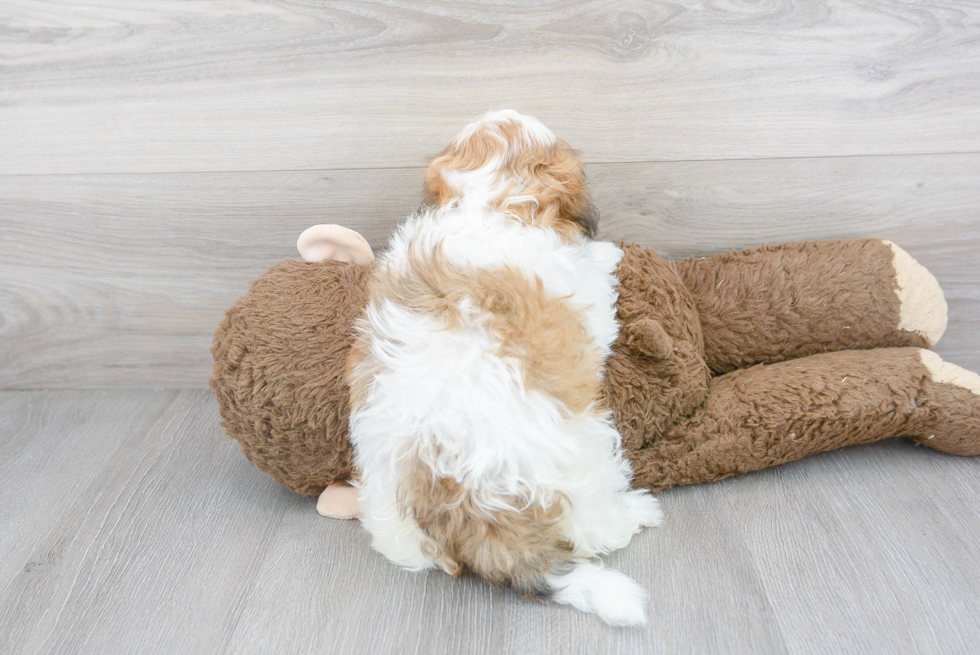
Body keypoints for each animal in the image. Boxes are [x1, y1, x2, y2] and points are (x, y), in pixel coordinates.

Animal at [348, 110, 664, 628]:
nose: (503, 110)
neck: (488, 204)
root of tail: (463, 501)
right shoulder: (586, 300)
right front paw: (607, 253)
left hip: (389, 515)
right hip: (583, 455)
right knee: (594, 527)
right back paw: (637, 511)